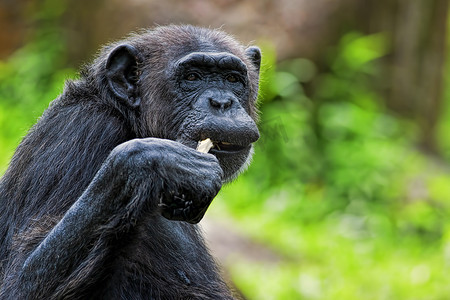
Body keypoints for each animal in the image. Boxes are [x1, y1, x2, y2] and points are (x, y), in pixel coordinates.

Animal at [0, 24, 260, 298]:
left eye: (232, 79)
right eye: (192, 77)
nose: (222, 102)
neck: (127, 117)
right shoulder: (80, 133)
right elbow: (18, 281)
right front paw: (159, 162)